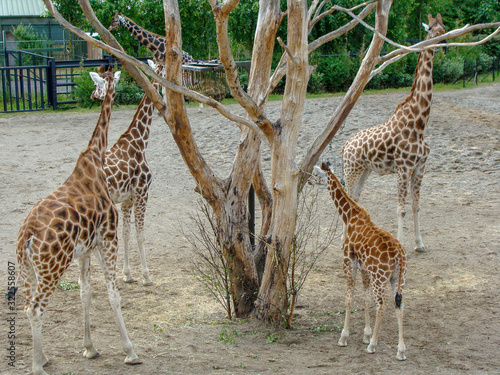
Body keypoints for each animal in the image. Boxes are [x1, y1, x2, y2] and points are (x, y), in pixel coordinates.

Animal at [16, 66, 142, 374]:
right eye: (113, 80)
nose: (94, 95)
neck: (96, 157)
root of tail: (26, 237)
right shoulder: (108, 240)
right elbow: (113, 295)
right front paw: (130, 351)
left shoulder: (85, 250)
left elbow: (85, 293)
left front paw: (90, 348)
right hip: (52, 267)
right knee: (35, 307)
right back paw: (37, 366)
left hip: (28, 269)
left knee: (27, 305)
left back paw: (43, 357)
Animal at [91, 60, 164, 286]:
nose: (93, 95)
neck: (139, 141)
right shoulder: (142, 193)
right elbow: (140, 235)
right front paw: (146, 276)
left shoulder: (127, 199)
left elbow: (126, 234)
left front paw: (127, 274)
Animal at [308, 163, 410, 362]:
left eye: (316, 174)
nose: (307, 180)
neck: (349, 215)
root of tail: (399, 257)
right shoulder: (364, 268)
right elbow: (364, 297)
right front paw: (366, 335)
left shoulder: (348, 261)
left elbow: (349, 298)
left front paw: (344, 337)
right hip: (398, 278)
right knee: (399, 306)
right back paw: (401, 351)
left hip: (380, 278)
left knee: (382, 305)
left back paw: (373, 346)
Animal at [344, 13, 446, 253]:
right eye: (432, 30)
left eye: (444, 27)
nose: (444, 42)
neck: (419, 123)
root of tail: (345, 146)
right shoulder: (403, 167)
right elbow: (401, 208)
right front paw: (400, 244)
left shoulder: (420, 167)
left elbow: (416, 205)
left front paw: (420, 244)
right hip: (351, 168)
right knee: (348, 197)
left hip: (365, 169)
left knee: (355, 199)